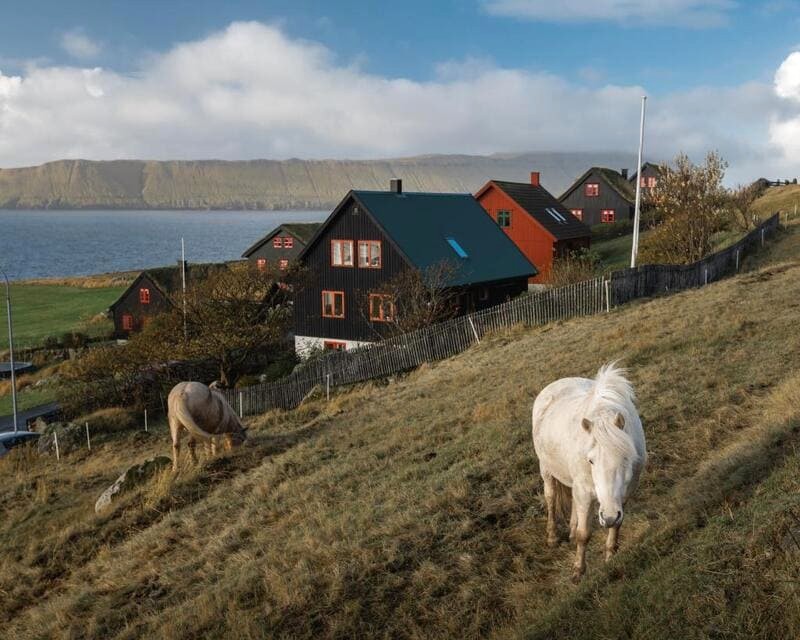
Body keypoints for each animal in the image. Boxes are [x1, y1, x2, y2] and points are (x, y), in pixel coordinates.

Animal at [536, 362, 648, 584]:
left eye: (626, 458)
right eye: (591, 460)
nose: (609, 516)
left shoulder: (624, 494)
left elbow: (616, 526)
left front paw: (611, 558)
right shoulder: (585, 492)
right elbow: (584, 534)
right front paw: (578, 571)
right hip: (546, 470)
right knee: (551, 498)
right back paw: (553, 537)